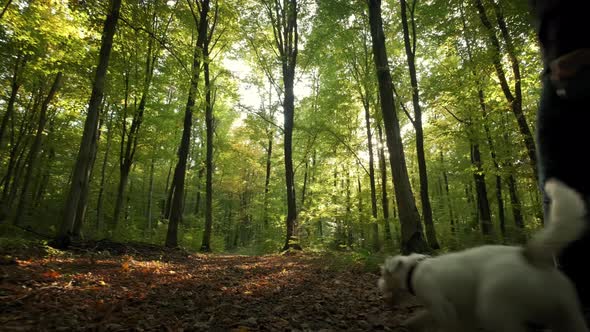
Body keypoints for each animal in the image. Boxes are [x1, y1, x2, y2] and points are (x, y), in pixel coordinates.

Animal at [382, 179, 588, 332]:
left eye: (383, 273)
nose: (379, 285)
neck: (414, 269)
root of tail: (531, 256)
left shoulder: (443, 308)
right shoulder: (458, 312)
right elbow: (419, 319)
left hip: (494, 308)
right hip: (569, 315)